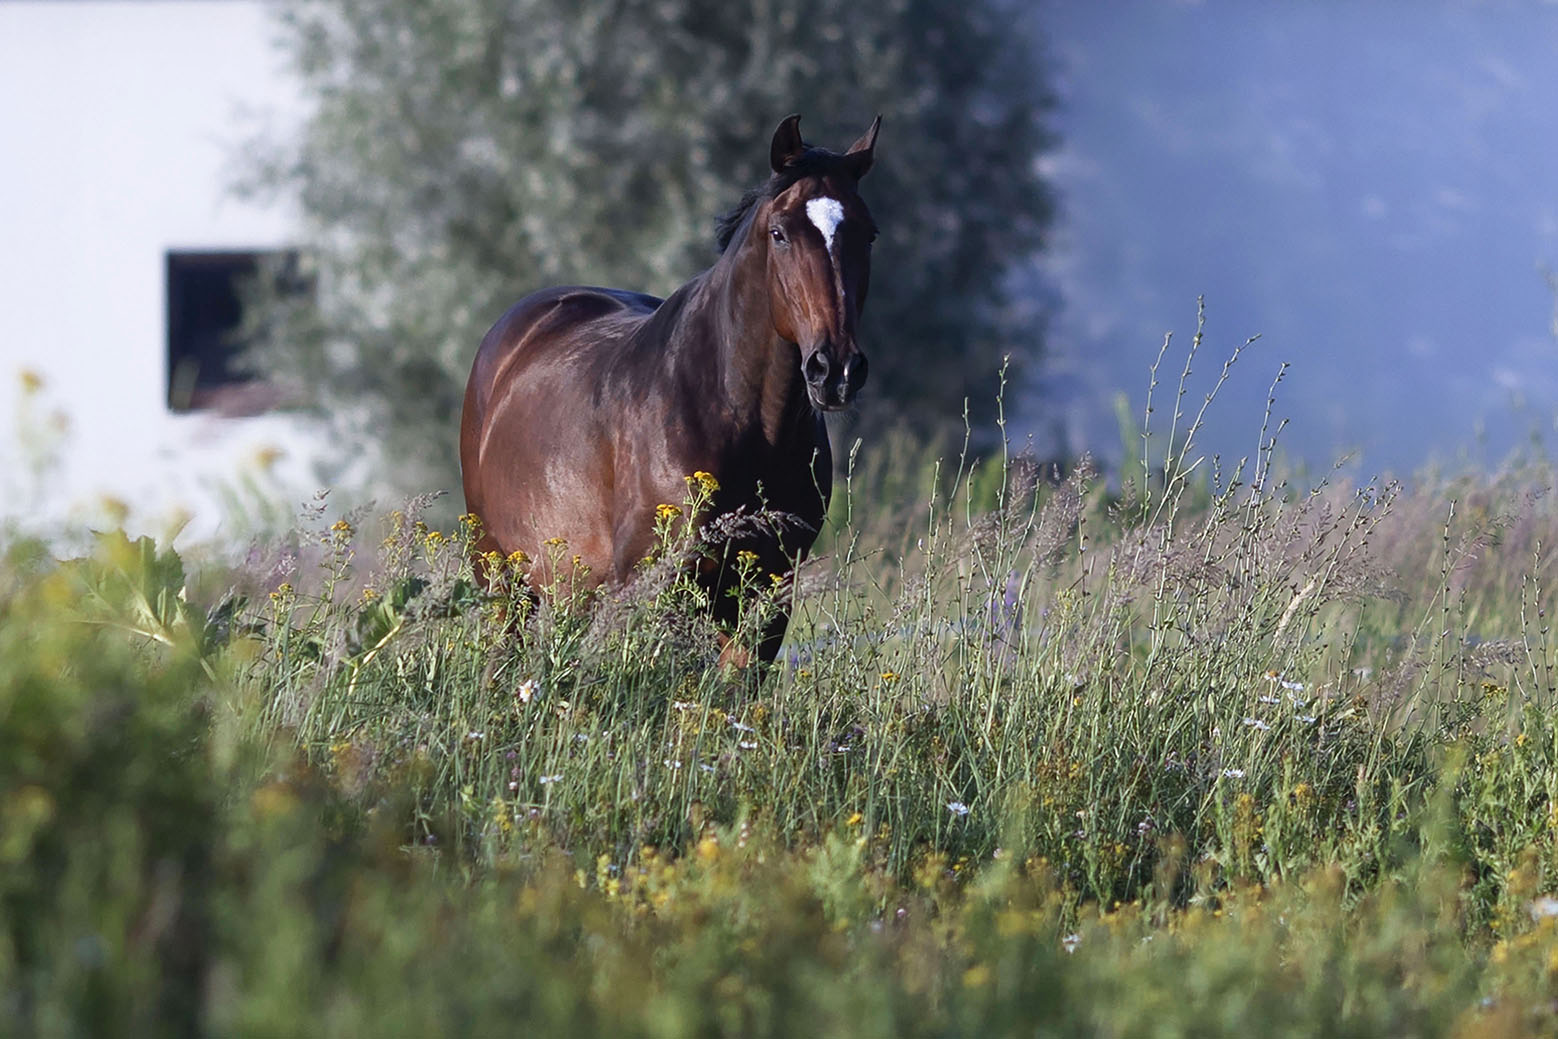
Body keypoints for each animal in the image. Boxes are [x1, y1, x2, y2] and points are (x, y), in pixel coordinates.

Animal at [454, 116, 884, 666]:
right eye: (780, 233)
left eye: (868, 234)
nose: (836, 370)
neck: (734, 416)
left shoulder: (765, 598)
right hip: (504, 586)